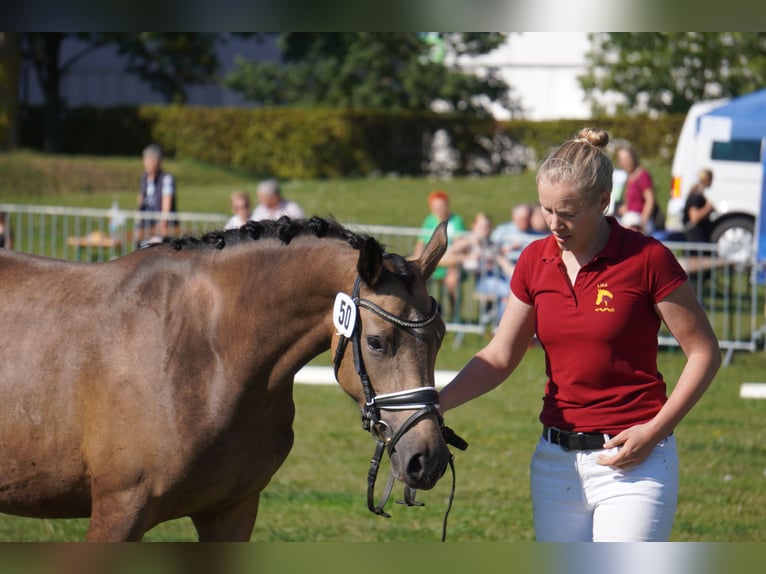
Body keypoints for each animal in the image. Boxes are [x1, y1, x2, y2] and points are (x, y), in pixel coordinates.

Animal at [0, 217, 452, 544]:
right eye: (376, 342)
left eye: (441, 335)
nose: (427, 459)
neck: (209, 353)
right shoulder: (120, 509)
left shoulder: (232, 511)